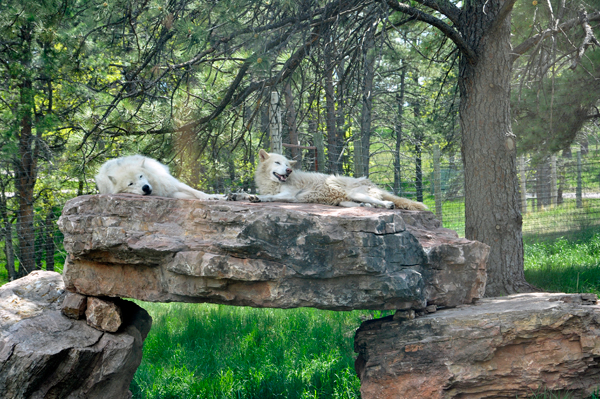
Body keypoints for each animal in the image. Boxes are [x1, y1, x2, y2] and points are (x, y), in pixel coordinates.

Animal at [95, 155, 226, 202]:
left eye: (141, 176)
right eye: (130, 184)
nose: (145, 188)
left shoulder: (171, 184)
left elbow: (196, 192)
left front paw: (212, 197)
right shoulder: (170, 194)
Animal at [232, 150, 428, 211]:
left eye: (287, 164)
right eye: (278, 163)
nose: (288, 170)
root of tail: (370, 182)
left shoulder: (290, 196)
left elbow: (269, 197)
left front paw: (257, 198)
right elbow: (243, 194)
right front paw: (235, 196)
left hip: (355, 193)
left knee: (381, 201)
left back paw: (388, 205)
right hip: (345, 202)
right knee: (369, 204)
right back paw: (366, 206)